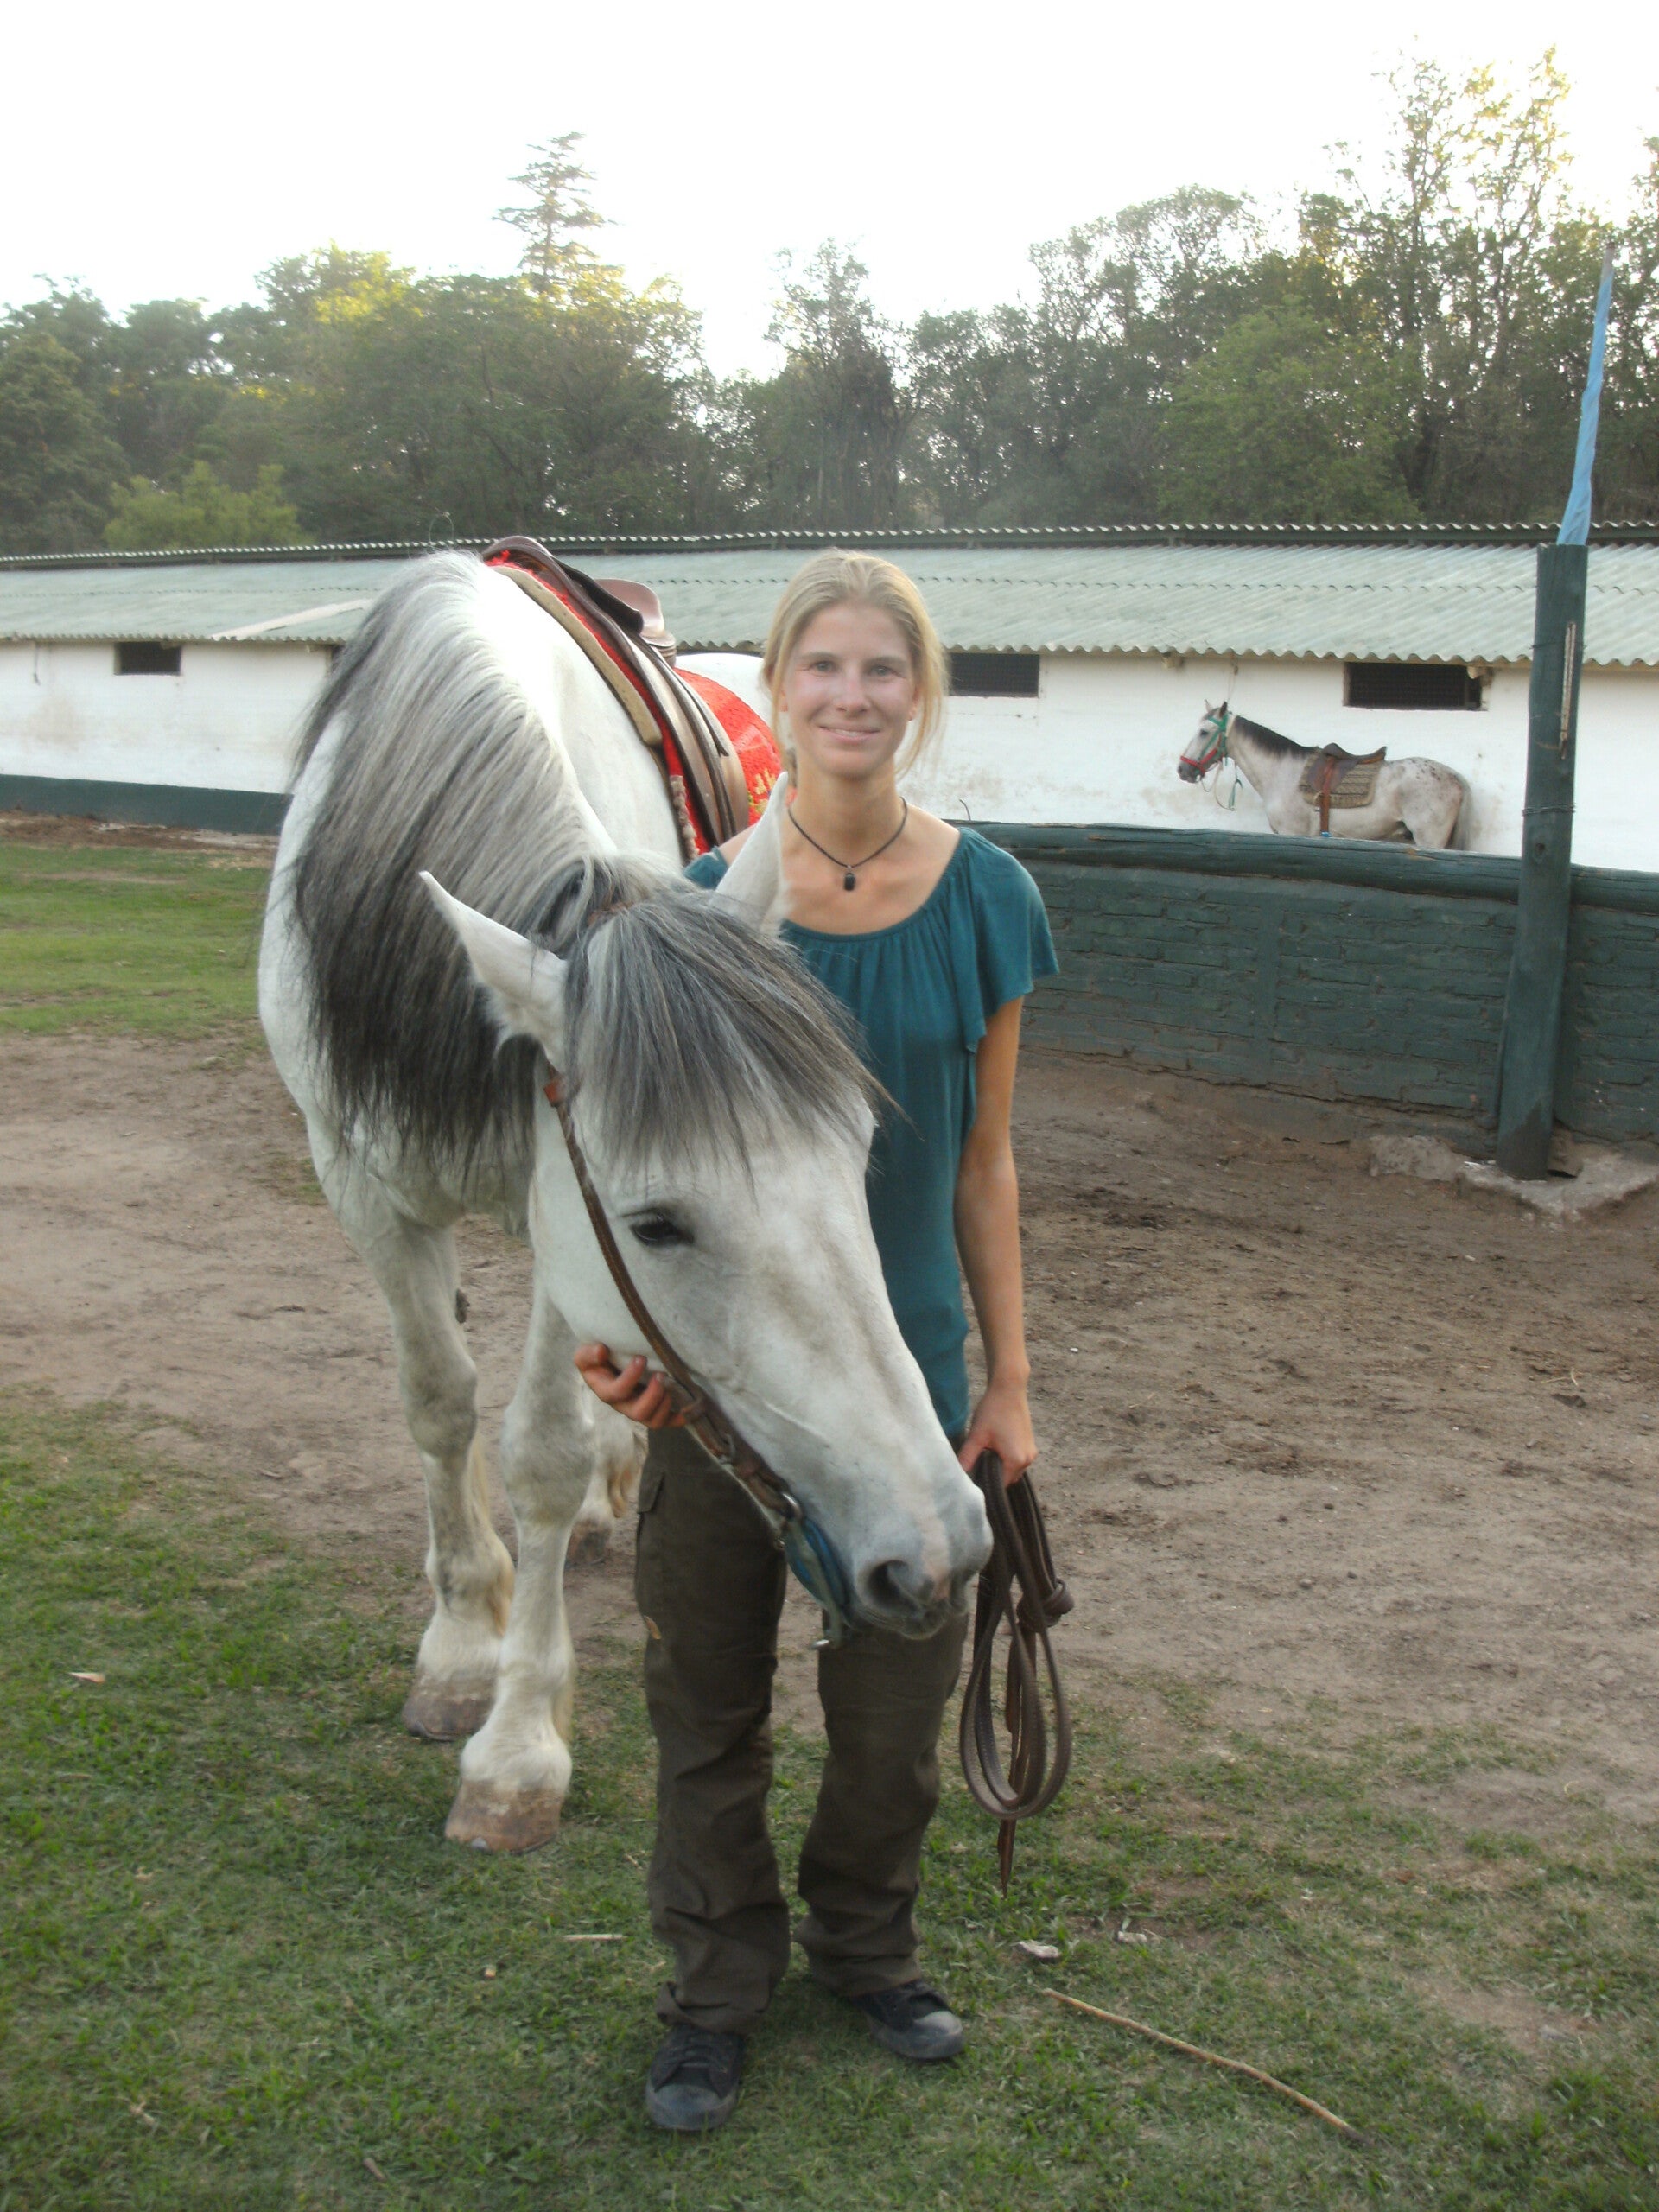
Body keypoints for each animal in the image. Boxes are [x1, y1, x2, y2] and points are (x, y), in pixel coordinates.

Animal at [258, 551, 991, 1854]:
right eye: (656, 1222)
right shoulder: (364, 1184)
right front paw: (462, 1649)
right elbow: (438, 1404)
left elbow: (543, 1454)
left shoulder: (556, 1219)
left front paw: (516, 1750)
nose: (941, 1549)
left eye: (857, 1153)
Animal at [1177, 705, 1469, 848]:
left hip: (1429, 839)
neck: (1283, 772)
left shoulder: (1291, 833)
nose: (1183, 770)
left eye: (1204, 732)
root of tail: (1456, 778)